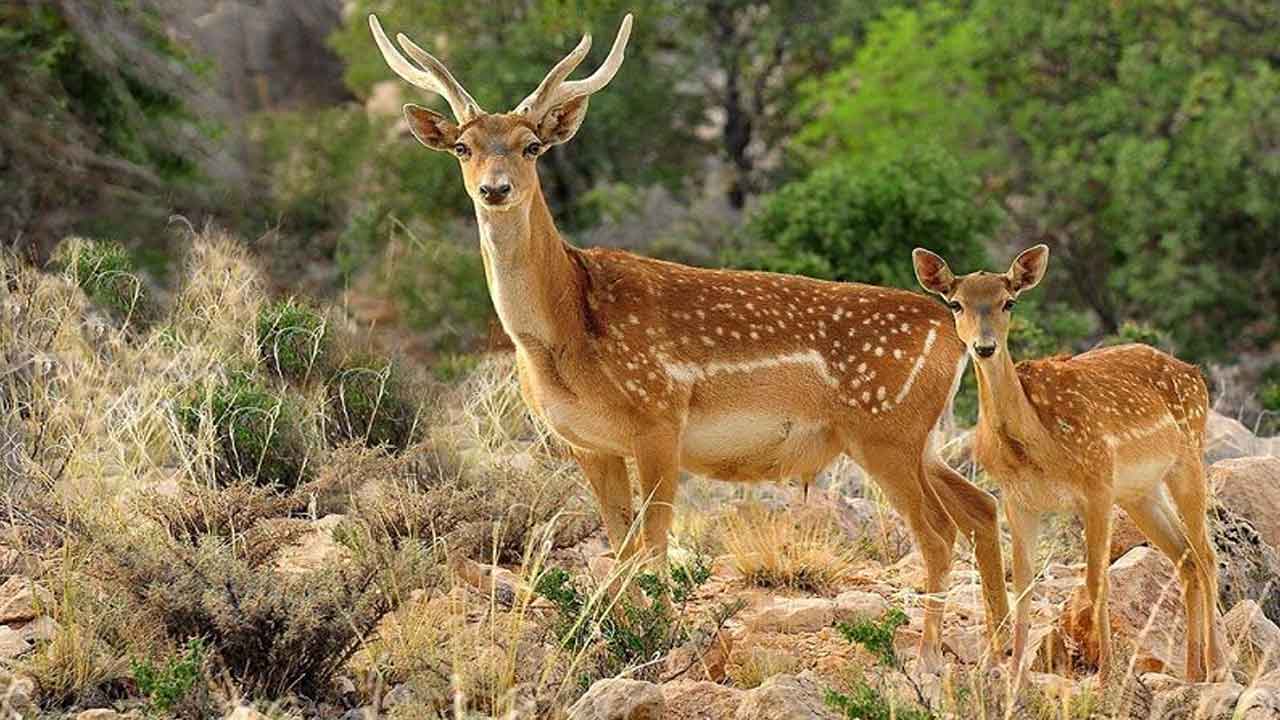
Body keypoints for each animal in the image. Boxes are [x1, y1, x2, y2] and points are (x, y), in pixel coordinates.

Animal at [369, 11, 1010, 668]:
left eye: (532, 146)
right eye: (464, 147)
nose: (494, 189)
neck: (565, 332)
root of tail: (952, 330)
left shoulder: (659, 417)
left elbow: (652, 545)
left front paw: (663, 642)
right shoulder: (588, 442)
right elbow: (620, 545)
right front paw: (622, 639)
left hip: (885, 429)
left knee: (939, 533)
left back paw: (930, 656)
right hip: (919, 438)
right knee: (982, 509)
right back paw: (997, 651)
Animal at [912, 245, 1224, 684]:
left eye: (1009, 301)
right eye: (955, 303)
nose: (984, 347)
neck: (1036, 447)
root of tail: (1196, 374)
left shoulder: (1096, 485)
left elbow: (1096, 580)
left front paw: (1107, 675)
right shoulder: (1018, 500)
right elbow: (1023, 582)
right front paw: (1015, 674)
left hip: (1189, 459)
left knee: (1207, 556)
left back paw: (1216, 667)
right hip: (1140, 491)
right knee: (1185, 558)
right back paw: (1193, 671)